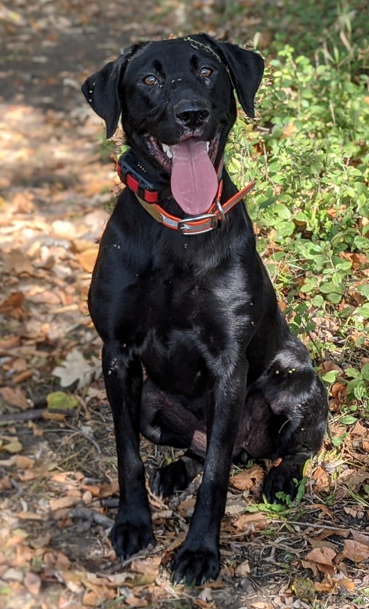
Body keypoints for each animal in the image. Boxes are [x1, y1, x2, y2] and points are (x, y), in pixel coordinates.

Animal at [82, 34, 326, 584]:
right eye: (149, 79)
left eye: (209, 71)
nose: (191, 113)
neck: (178, 226)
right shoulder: (117, 356)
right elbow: (128, 453)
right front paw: (133, 524)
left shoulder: (228, 366)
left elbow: (216, 475)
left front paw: (198, 552)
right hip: (152, 404)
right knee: (199, 446)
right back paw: (175, 470)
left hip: (297, 384)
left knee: (288, 448)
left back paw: (281, 480)